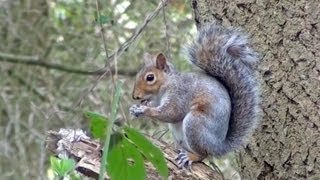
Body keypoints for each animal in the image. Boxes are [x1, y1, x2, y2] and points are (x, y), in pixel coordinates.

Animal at [129, 23, 258, 167]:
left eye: (150, 78)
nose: (135, 96)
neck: (167, 85)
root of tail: (218, 145)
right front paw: (135, 108)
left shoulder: (180, 93)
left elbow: (172, 113)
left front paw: (144, 110)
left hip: (195, 124)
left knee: (203, 154)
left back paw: (191, 156)